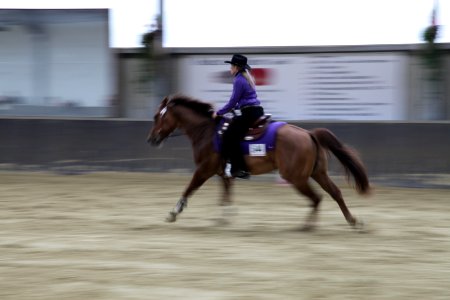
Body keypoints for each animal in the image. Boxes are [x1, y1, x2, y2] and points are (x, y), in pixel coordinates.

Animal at [146, 95, 370, 231]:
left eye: (157, 116)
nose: (151, 139)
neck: (208, 132)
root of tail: (309, 133)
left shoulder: (204, 170)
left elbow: (189, 189)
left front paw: (173, 213)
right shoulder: (224, 173)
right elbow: (226, 196)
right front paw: (225, 218)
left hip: (296, 178)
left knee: (316, 198)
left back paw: (306, 227)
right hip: (318, 173)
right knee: (335, 194)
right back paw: (352, 221)